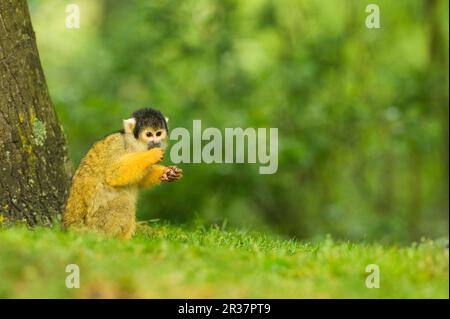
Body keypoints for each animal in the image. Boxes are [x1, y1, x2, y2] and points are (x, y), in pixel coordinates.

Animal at [63, 108, 183, 240]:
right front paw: (152, 155)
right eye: (149, 134)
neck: (134, 145)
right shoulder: (117, 145)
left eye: (158, 133)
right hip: (97, 226)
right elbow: (114, 173)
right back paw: (122, 240)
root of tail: (73, 228)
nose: (156, 142)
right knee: (124, 204)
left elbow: (140, 180)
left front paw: (167, 173)